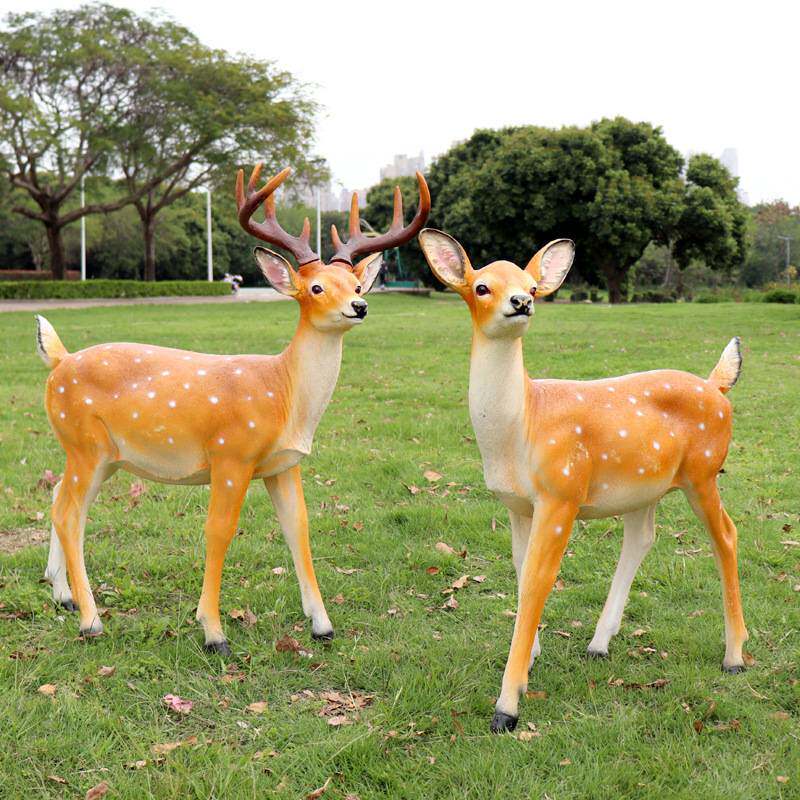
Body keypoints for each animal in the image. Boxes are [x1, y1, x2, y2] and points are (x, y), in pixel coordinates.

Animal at [36, 163, 430, 655]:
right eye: (316, 287)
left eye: (357, 284)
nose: (359, 305)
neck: (283, 394)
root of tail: (59, 360)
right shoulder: (231, 454)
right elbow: (219, 530)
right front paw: (213, 631)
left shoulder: (285, 464)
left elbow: (299, 529)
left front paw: (322, 624)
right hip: (85, 441)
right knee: (69, 514)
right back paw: (91, 620)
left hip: (100, 454)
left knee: (57, 497)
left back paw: (63, 595)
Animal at [418, 229, 747, 733]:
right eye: (481, 286)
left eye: (533, 287)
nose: (521, 302)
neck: (521, 426)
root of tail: (717, 387)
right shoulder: (517, 505)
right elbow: (520, 573)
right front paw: (530, 657)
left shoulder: (561, 492)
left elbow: (539, 579)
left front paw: (507, 705)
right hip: (644, 486)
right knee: (641, 538)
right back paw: (599, 644)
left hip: (704, 470)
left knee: (726, 536)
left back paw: (734, 658)